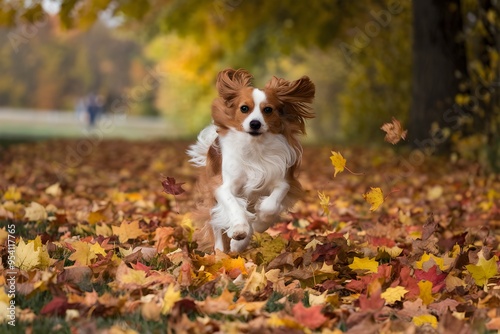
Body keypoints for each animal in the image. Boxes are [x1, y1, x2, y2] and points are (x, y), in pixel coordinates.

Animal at [186, 68, 314, 253]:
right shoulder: (222, 186)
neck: (255, 146)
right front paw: (239, 229)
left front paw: (260, 223)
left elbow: (270, 205)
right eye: (244, 108)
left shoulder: (283, 181)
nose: (255, 123)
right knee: (217, 226)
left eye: (268, 110)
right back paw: (220, 252)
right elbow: (233, 205)